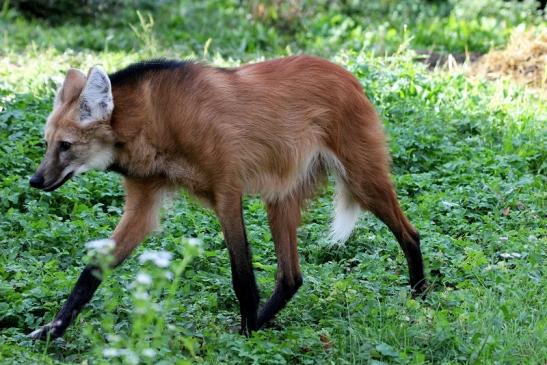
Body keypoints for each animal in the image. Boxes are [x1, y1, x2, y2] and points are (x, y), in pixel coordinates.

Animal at [27, 56, 426, 338]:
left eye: (66, 146)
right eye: (47, 144)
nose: (35, 180)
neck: (154, 122)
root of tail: (349, 76)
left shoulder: (226, 191)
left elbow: (242, 276)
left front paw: (246, 335)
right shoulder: (144, 202)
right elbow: (90, 272)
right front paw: (52, 330)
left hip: (361, 177)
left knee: (410, 233)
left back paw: (420, 300)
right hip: (280, 194)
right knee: (291, 277)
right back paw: (263, 323)